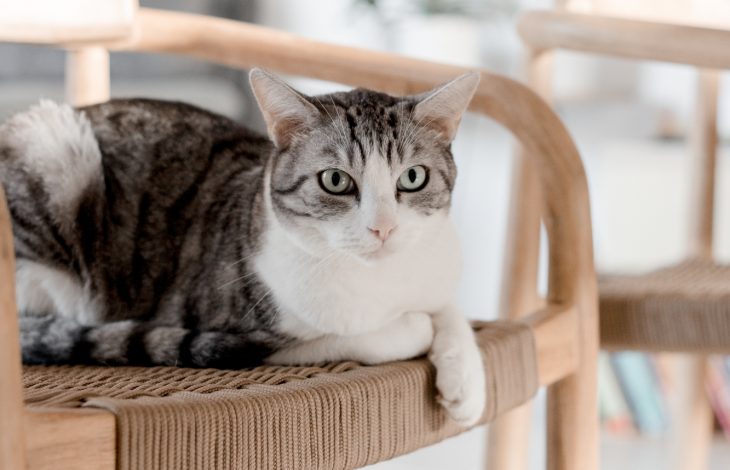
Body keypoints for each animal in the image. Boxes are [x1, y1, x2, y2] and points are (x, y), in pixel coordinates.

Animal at [1, 69, 490, 426]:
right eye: (335, 180)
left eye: (413, 178)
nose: (383, 229)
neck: (380, 284)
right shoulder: (243, 331)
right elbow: (358, 336)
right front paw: (413, 328)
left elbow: (450, 309)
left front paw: (465, 380)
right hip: (55, 157)